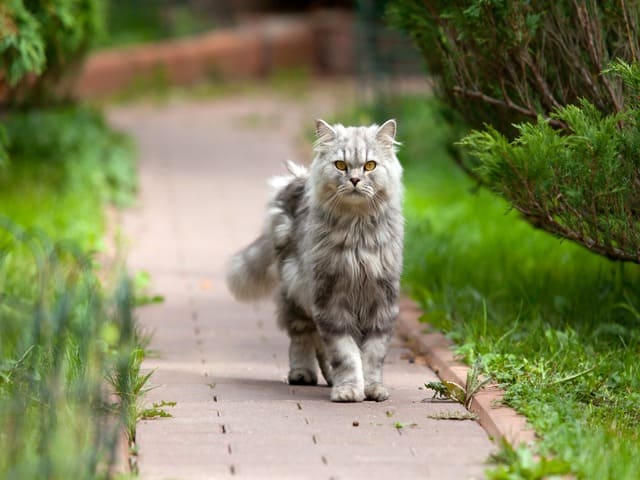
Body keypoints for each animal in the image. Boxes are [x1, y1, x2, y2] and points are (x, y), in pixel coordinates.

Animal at [228, 119, 402, 402]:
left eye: (370, 165)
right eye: (340, 165)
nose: (355, 179)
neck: (357, 234)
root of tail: (297, 179)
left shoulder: (381, 301)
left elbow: (372, 355)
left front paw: (372, 388)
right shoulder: (331, 299)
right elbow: (346, 353)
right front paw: (349, 389)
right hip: (296, 293)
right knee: (303, 339)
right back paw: (304, 373)